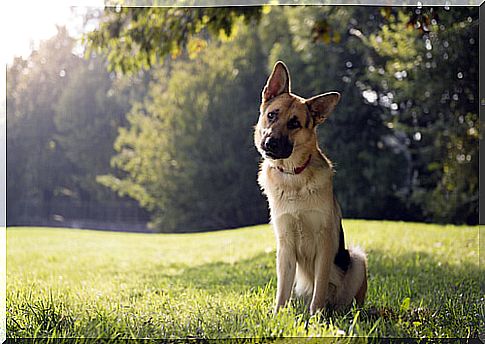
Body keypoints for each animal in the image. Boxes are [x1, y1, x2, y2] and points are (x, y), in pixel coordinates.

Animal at [255, 61, 364, 314]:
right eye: (272, 115)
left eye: (294, 123)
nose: (269, 144)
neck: (293, 177)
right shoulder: (285, 246)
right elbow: (282, 290)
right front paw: (277, 315)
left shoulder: (325, 244)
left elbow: (320, 287)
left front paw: (316, 317)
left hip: (357, 259)